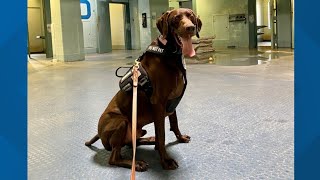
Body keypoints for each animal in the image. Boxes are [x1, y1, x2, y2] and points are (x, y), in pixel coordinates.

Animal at [85, 8, 200, 172]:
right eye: (177, 18)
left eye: (191, 16)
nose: (191, 28)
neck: (169, 52)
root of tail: (99, 134)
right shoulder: (159, 103)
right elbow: (162, 134)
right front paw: (165, 160)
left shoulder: (171, 102)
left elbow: (174, 123)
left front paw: (179, 138)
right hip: (121, 121)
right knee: (114, 157)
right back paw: (137, 163)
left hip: (138, 129)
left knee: (132, 143)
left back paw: (149, 139)